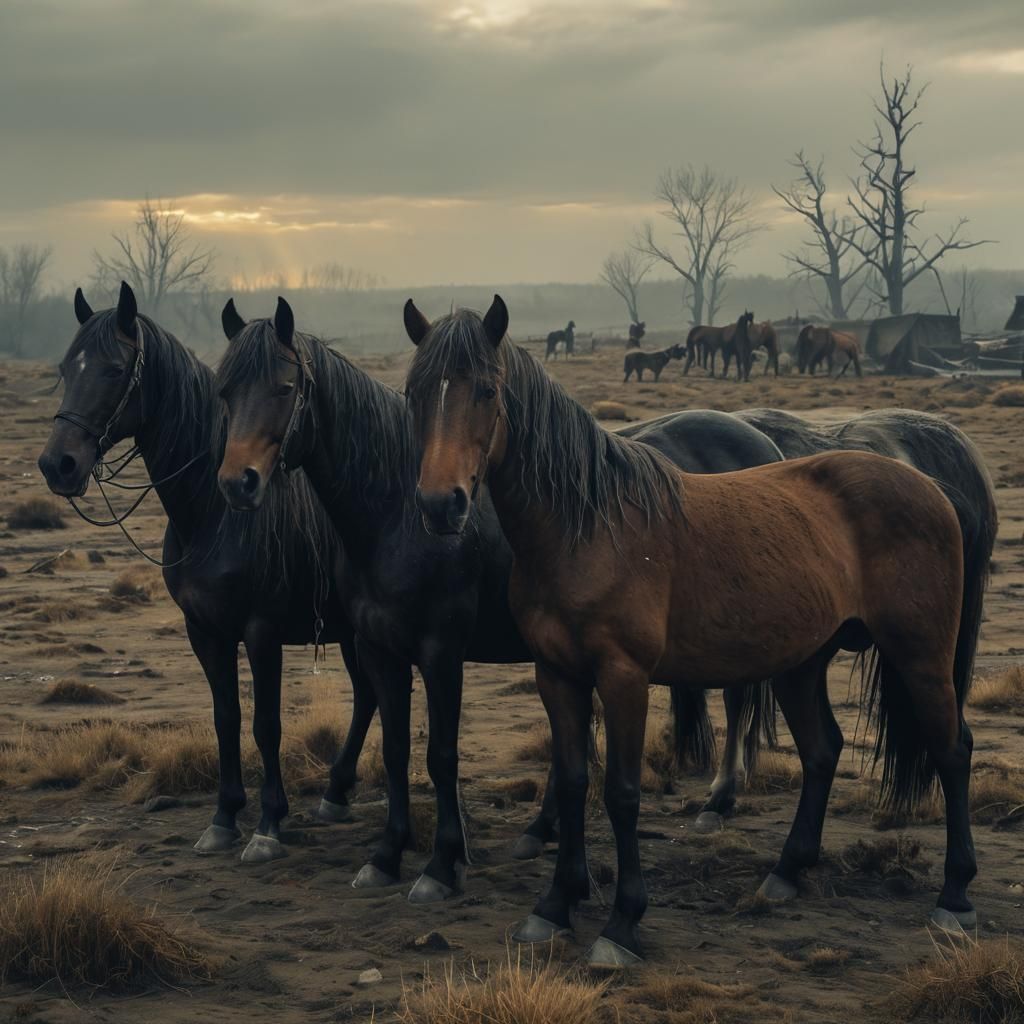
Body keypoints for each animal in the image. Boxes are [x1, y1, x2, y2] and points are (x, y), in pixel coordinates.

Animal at [36, 283, 378, 864]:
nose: (58, 464)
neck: (212, 514)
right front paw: (223, 817)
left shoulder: (261, 631)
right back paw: (335, 793)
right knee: (369, 697)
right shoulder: (204, 631)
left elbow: (265, 724)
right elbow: (226, 718)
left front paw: (268, 824)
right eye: (65, 367)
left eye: (113, 370)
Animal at [405, 295, 978, 968]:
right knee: (822, 750)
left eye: (488, 391)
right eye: (416, 392)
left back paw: (955, 896)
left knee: (952, 749)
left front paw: (621, 924)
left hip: (921, 657)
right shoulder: (557, 675)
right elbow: (572, 783)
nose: (441, 505)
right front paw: (553, 906)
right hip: (803, 662)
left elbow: (622, 793)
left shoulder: (623, 677)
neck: (586, 528)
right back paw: (787, 872)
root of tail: (930, 487)